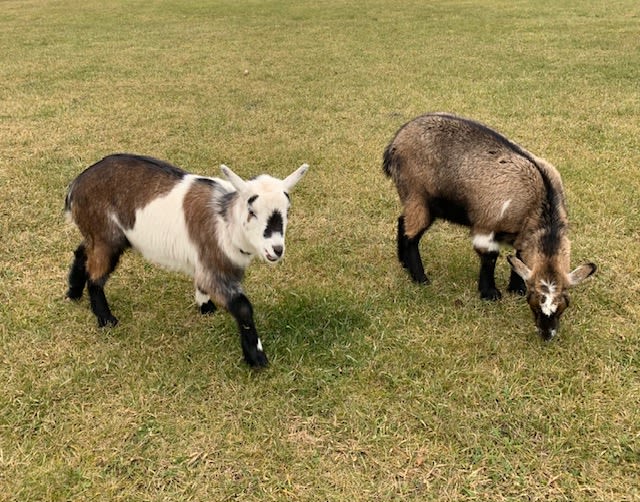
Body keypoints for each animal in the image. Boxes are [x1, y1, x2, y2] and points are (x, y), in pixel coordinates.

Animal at [65, 153, 308, 367]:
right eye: (252, 211)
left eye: (287, 211)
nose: (276, 249)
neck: (225, 221)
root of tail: (75, 186)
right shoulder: (215, 268)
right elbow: (243, 308)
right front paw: (256, 358)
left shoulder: (205, 263)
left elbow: (202, 284)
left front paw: (205, 307)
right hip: (105, 235)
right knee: (96, 275)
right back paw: (106, 320)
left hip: (98, 236)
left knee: (82, 252)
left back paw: (73, 293)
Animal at [383, 112, 596, 340]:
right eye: (533, 302)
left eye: (565, 304)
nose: (547, 334)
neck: (539, 200)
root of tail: (395, 143)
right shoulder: (486, 225)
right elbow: (490, 257)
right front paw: (490, 293)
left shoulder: (522, 235)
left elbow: (519, 257)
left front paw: (515, 288)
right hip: (418, 196)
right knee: (411, 236)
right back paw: (420, 278)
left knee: (402, 222)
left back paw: (404, 264)